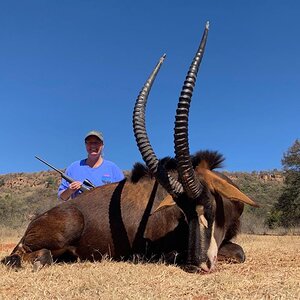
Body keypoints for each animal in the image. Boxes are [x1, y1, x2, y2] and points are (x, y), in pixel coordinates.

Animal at [1, 22, 256, 272]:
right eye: (184, 213)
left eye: (210, 206)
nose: (197, 264)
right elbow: (226, 252)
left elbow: (240, 251)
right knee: (20, 255)